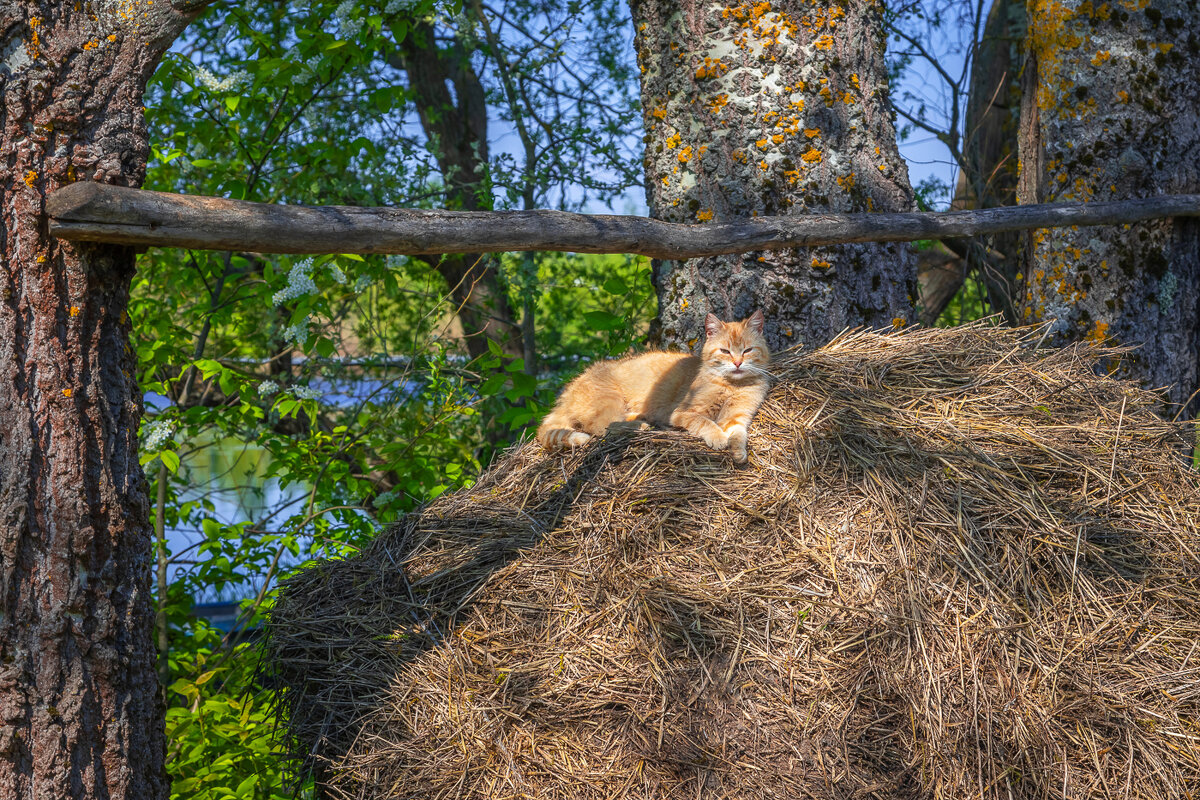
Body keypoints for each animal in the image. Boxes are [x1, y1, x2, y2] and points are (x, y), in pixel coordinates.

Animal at [540, 311, 772, 462]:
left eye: (747, 350)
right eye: (725, 351)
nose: (737, 363)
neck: (733, 386)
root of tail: (568, 391)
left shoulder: (738, 417)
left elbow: (739, 434)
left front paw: (738, 451)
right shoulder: (682, 412)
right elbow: (705, 422)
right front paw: (718, 438)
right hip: (609, 401)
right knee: (603, 427)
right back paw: (641, 426)